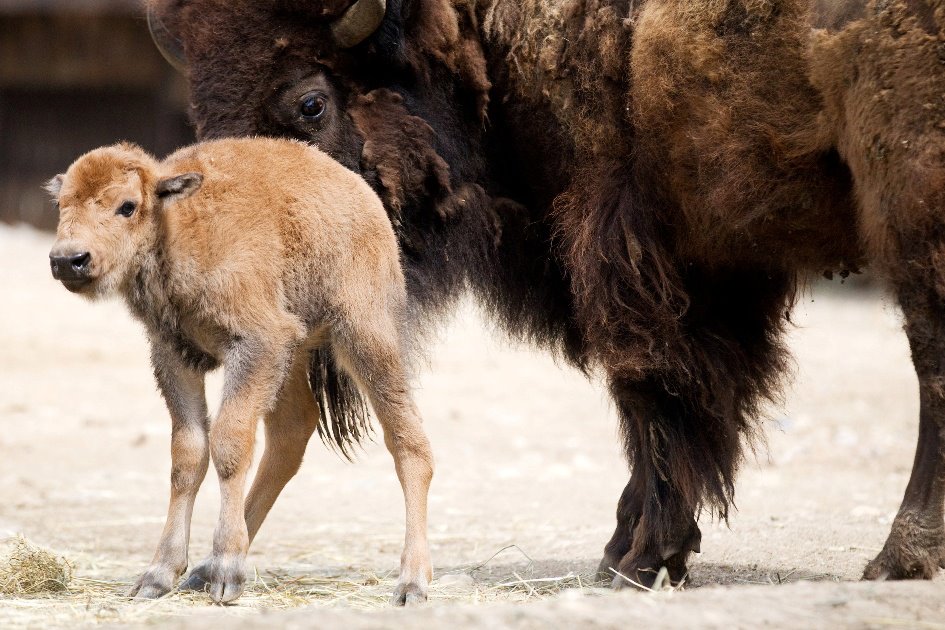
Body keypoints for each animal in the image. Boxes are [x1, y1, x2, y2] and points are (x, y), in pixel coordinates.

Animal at [45, 139, 436, 608]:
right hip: (293, 355)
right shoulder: (174, 356)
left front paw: (228, 571)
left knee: (407, 441)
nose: (69, 260)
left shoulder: (255, 344)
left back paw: (411, 583)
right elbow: (188, 454)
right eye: (61, 205)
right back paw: (204, 570)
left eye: (127, 206)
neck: (176, 225)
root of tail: (363, 195)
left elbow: (229, 444)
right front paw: (158, 575)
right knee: (291, 433)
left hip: (365, 336)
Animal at [146, 0, 944, 592]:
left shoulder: (622, 243)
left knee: (928, 357)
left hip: (907, 192)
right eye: (205, 117)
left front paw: (637, 558)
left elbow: (650, 387)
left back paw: (899, 556)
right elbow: (688, 399)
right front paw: (631, 548)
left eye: (311, 103)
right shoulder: (712, 260)